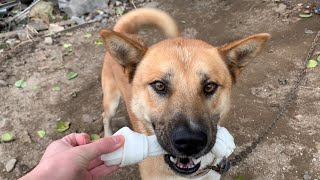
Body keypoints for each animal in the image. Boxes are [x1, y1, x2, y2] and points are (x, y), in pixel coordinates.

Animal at [100, 8, 270, 179]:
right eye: (159, 85)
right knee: (105, 116)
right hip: (111, 100)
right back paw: (108, 136)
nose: (190, 142)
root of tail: (124, 32)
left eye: (209, 86)